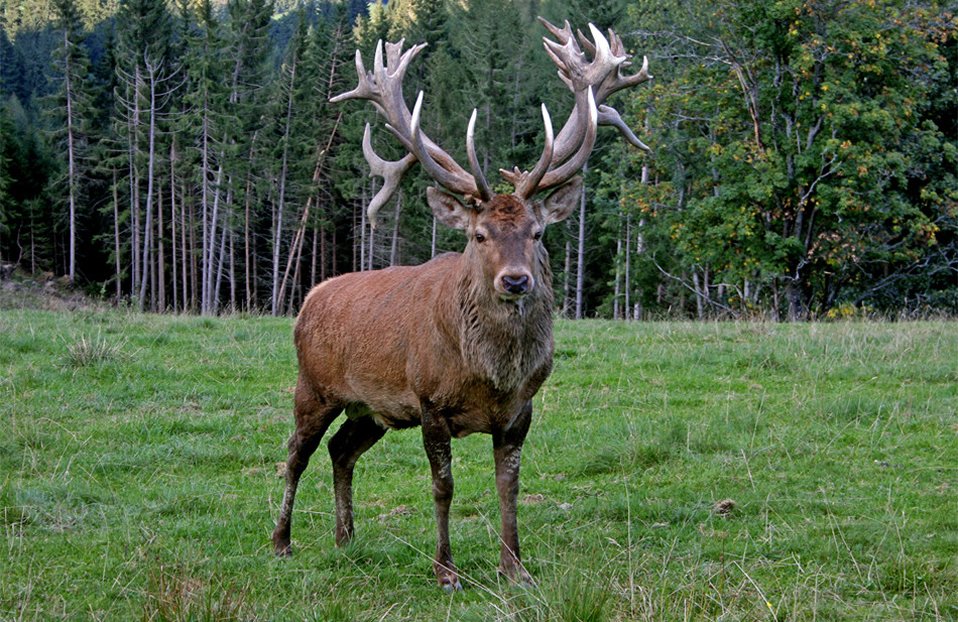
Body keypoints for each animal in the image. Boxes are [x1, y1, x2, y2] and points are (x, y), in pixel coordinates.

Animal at [271, 17, 651, 591]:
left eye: (538, 232)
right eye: (478, 234)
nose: (515, 280)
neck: (490, 374)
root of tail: (309, 299)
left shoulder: (521, 409)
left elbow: (508, 487)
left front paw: (515, 567)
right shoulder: (428, 401)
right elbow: (443, 487)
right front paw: (446, 570)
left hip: (374, 409)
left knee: (341, 449)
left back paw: (346, 538)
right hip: (314, 385)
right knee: (296, 452)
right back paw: (282, 542)